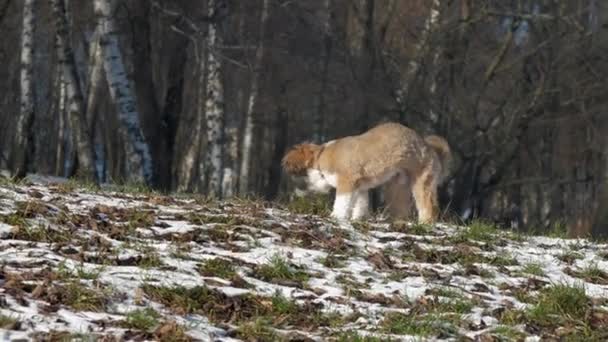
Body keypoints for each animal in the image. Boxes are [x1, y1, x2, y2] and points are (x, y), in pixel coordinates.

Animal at [282, 121, 452, 223]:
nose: (294, 193)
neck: (322, 156)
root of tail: (430, 147)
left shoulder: (347, 182)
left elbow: (341, 203)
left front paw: (336, 216)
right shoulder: (360, 187)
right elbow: (360, 205)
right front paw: (357, 219)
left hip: (422, 182)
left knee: (428, 207)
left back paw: (424, 223)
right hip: (397, 187)